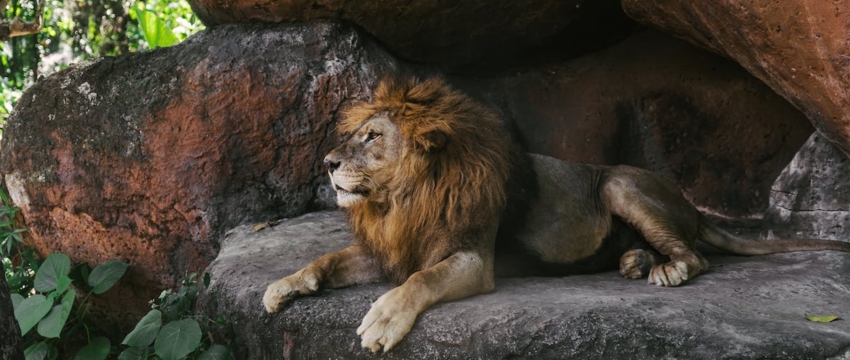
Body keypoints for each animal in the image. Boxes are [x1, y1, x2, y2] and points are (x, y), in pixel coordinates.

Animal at [262, 76, 844, 354]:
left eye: (372, 136)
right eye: (356, 134)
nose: (328, 162)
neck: (401, 201)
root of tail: (690, 205)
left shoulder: (472, 259)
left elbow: (420, 281)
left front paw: (382, 320)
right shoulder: (387, 251)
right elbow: (328, 260)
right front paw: (284, 286)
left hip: (619, 182)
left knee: (696, 256)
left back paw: (666, 269)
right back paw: (634, 261)